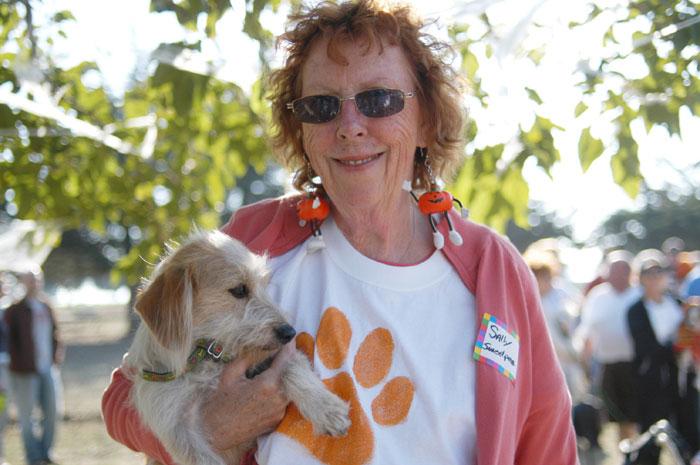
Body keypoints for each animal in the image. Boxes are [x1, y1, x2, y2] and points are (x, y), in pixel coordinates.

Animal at [124, 230, 350, 465]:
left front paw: (327, 408)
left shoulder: (269, 357)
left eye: (264, 285)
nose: (289, 332)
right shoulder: (176, 427)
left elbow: (292, 368)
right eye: (240, 290)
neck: (207, 356)